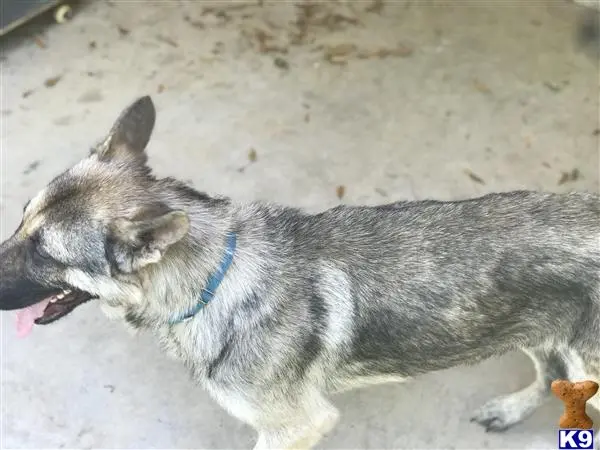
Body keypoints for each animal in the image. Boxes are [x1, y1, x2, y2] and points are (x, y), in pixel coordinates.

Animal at [1, 96, 600, 448]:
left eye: (45, 253)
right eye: (21, 220)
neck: (217, 280)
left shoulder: (296, 427)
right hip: (537, 330)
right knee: (552, 376)